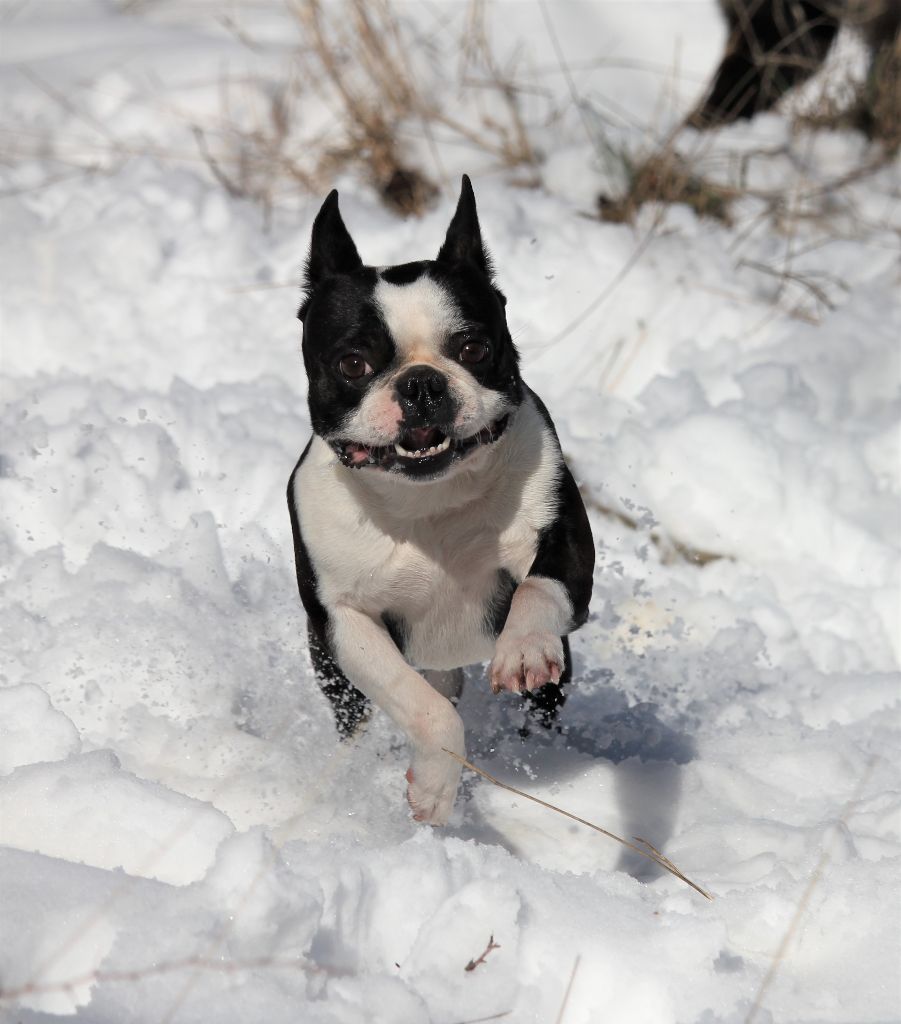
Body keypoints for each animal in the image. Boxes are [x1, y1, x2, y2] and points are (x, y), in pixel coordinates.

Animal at [288, 176, 593, 827]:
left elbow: (538, 588)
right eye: (353, 362)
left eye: (474, 348)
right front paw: (434, 786)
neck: (427, 503)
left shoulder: (567, 553)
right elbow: (422, 706)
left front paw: (523, 648)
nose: (422, 382)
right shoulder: (343, 623)